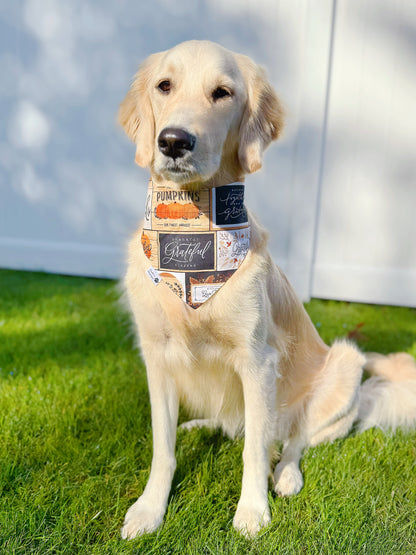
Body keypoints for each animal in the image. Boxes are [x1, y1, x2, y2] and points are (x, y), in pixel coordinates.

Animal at [117, 39, 416, 540]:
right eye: (164, 85)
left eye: (222, 93)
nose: (174, 141)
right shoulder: (156, 356)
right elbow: (163, 448)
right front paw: (149, 509)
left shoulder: (258, 361)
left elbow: (255, 449)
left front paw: (252, 510)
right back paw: (200, 424)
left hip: (344, 372)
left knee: (294, 440)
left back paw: (288, 476)